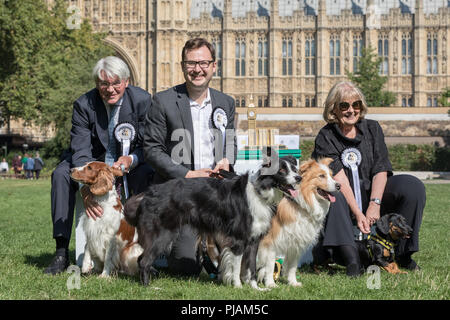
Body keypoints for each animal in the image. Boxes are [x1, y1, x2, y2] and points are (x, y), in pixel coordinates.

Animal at [123, 154, 300, 288]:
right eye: (282, 170)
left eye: (295, 169)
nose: (299, 178)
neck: (259, 191)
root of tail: (148, 193)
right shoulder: (239, 239)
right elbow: (237, 266)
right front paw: (237, 286)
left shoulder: (254, 239)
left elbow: (251, 267)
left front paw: (255, 289)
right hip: (163, 234)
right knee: (144, 260)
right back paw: (149, 287)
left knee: (140, 258)